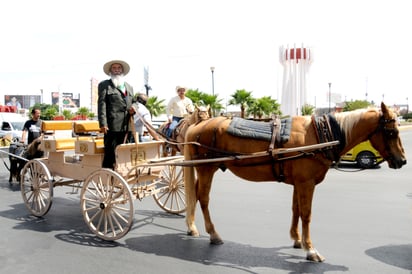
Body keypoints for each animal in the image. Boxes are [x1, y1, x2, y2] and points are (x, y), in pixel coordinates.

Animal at [183, 102, 406, 262]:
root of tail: (197, 126)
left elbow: (296, 210)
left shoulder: (299, 183)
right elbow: (306, 214)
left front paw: (297, 240)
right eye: (391, 132)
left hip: (204, 170)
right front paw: (311, 249)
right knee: (203, 198)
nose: (402, 160)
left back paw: (192, 226)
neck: (319, 135)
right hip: (206, 169)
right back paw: (213, 233)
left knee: (195, 195)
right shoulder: (306, 183)